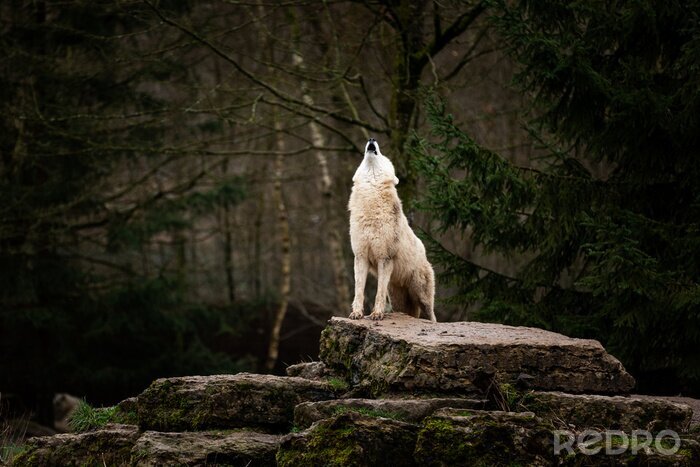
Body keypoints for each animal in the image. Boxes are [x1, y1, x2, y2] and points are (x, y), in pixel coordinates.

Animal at [347, 138, 436, 321]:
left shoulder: (385, 258)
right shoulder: (360, 257)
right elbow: (358, 291)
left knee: (432, 316)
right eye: (363, 159)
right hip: (399, 300)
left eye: (382, 155)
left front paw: (377, 314)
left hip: (422, 296)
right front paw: (357, 313)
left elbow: (379, 293)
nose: (372, 139)